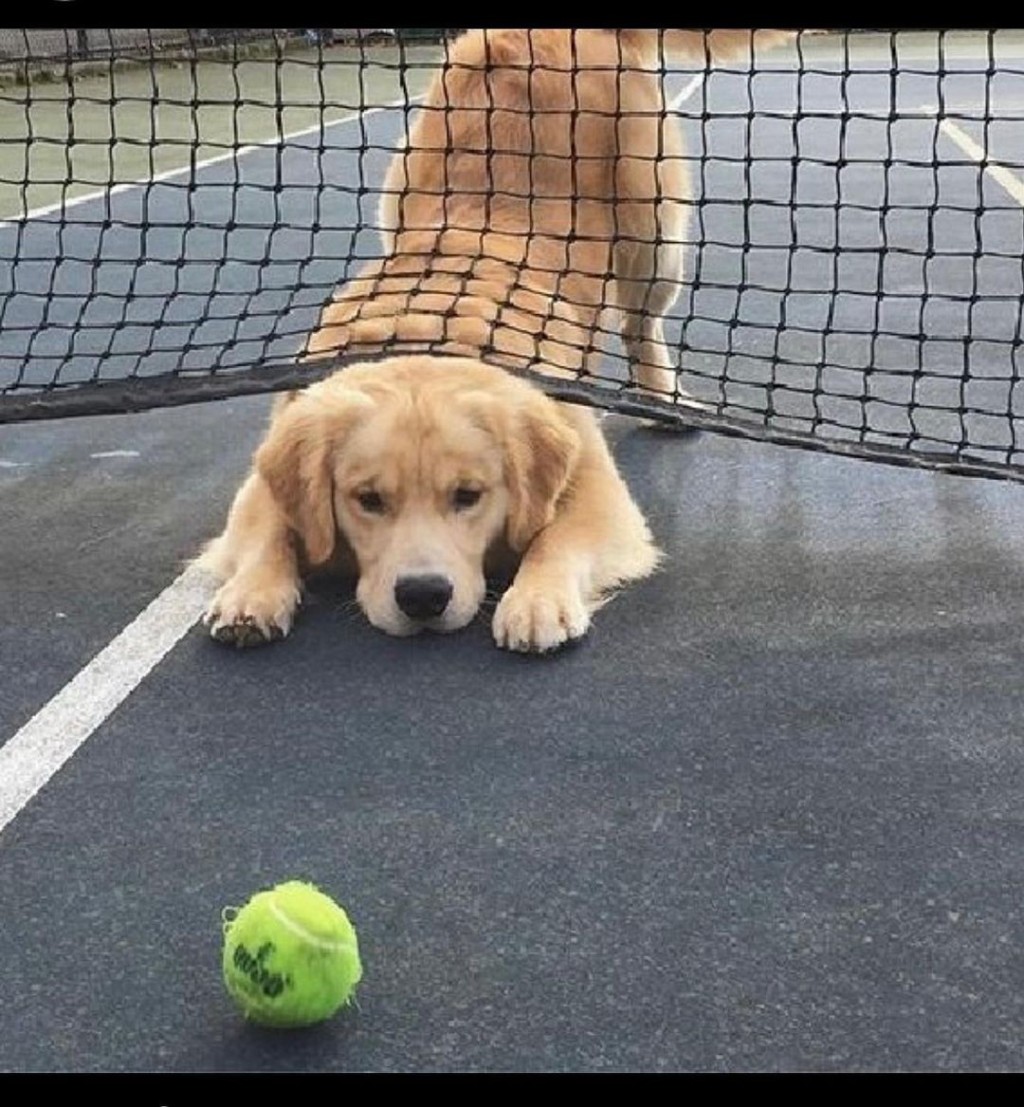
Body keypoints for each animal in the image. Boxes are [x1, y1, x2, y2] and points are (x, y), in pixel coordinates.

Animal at [198, 28, 792, 646]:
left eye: (468, 496)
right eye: (368, 500)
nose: (423, 595)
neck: (431, 330)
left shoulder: (597, 487)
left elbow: (558, 536)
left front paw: (537, 599)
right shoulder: (263, 476)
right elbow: (267, 530)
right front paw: (250, 593)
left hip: (652, 236)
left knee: (640, 323)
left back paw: (666, 401)